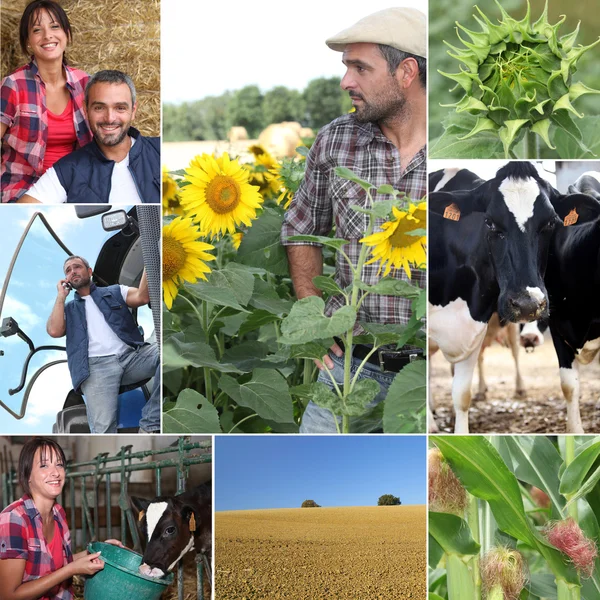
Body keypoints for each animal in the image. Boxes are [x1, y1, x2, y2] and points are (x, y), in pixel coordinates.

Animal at [428, 164, 560, 434]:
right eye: (489, 222)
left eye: (551, 222)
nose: (528, 304)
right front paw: (429, 424)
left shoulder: (474, 326)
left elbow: (462, 395)